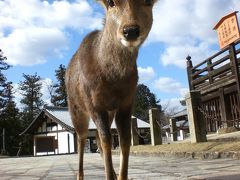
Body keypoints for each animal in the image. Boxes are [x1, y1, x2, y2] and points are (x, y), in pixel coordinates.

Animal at [64, 0, 157, 179]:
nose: (130, 31)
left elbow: (124, 140)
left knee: (96, 139)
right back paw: (80, 175)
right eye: (110, 3)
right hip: (76, 108)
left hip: (109, 112)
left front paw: (121, 175)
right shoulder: (94, 103)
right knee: (81, 138)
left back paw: (112, 173)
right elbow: (106, 140)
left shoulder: (126, 102)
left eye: (148, 2)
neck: (114, 82)